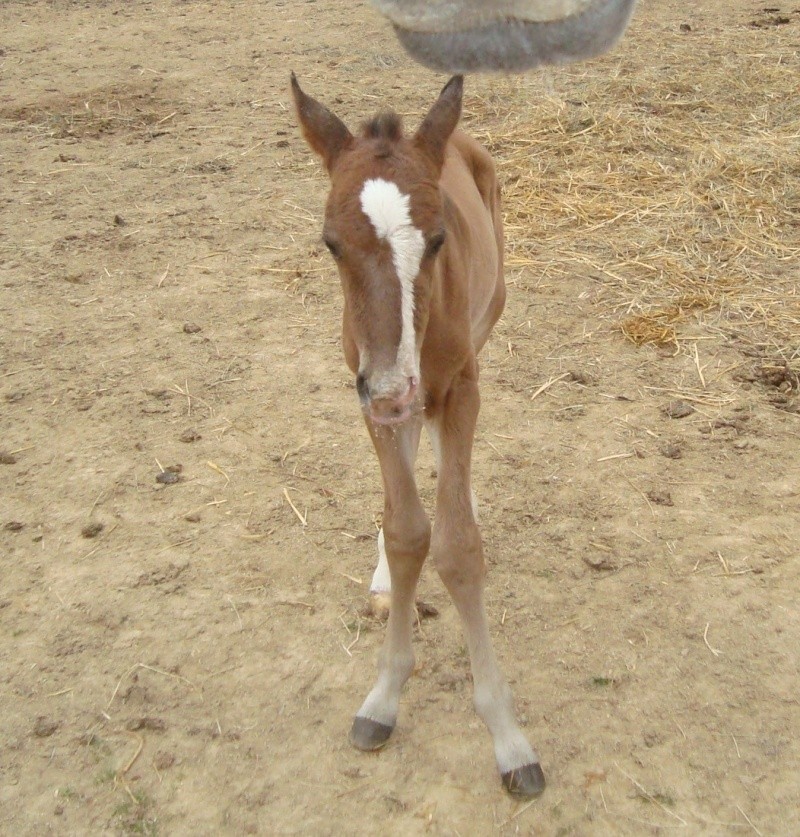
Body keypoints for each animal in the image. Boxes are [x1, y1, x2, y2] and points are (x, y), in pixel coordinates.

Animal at [292, 73, 544, 796]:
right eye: (330, 242)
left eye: (436, 239)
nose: (389, 386)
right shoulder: (370, 392)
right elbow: (407, 530)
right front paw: (383, 696)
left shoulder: (457, 384)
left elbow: (458, 545)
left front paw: (508, 736)